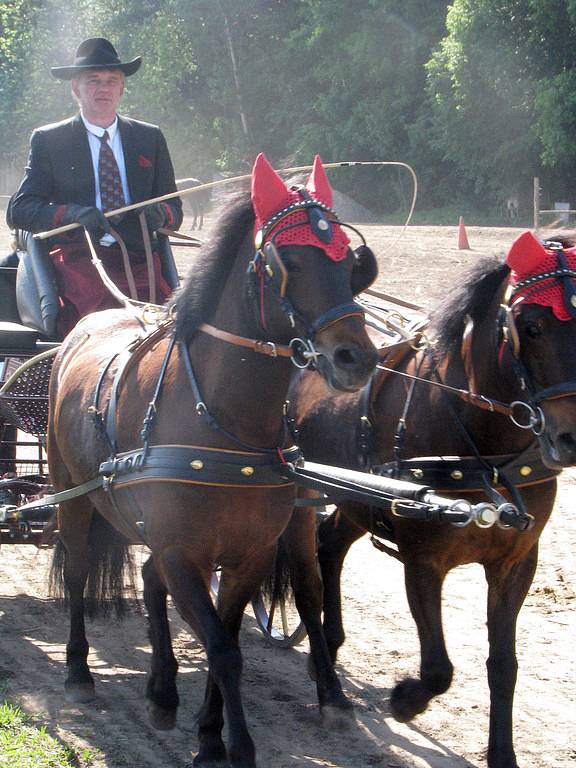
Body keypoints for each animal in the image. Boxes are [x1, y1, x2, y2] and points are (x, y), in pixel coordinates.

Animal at [48, 153, 378, 764]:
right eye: (289, 260)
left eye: (351, 262)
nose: (356, 358)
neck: (226, 428)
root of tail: (91, 320)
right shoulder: (184, 551)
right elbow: (221, 648)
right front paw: (230, 745)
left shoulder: (248, 554)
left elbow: (229, 641)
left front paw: (207, 729)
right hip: (73, 495)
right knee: (79, 570)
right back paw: (79, 672)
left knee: (153, 582)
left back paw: (161, 691)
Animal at [282, 231, 576, 768]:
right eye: (532, 326)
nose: (571, 438)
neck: (484, 451)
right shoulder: (423, 559)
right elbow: (439, 668)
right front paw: (404, 699)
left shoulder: (517, 562)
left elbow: (504, 664)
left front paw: (502, 753)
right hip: (297, 492)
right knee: (305, 576)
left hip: (358, 498)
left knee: (330, 544)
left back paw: (328, 648)